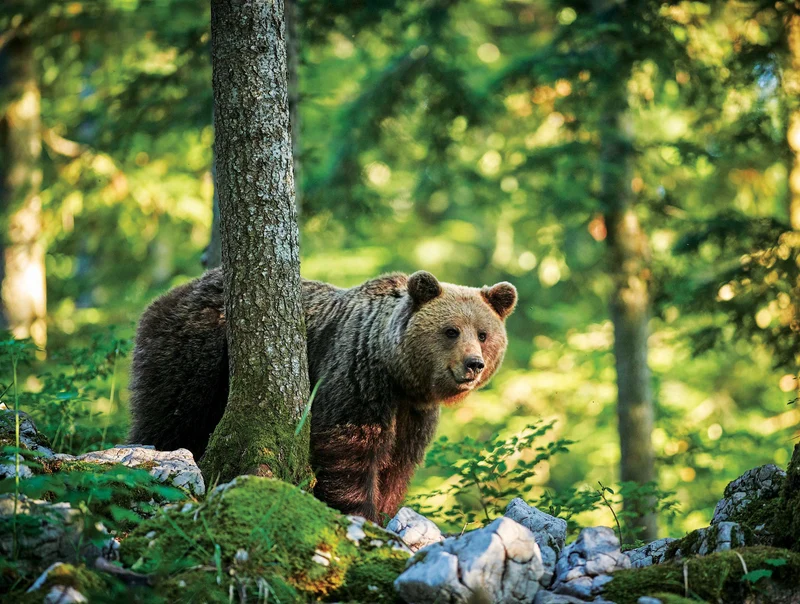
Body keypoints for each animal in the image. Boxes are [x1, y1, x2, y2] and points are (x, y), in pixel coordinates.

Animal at [128, 268, 517, 522]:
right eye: (451, 330)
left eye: (483, 334)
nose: (474, 364)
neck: (398, 373)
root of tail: (171, 294)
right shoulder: (355, 379)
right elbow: (351, 454)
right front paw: (359, 512)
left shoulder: (414, 413)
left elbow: (398, 464)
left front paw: (386, 513)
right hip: (195, 357)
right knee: (172, 418)